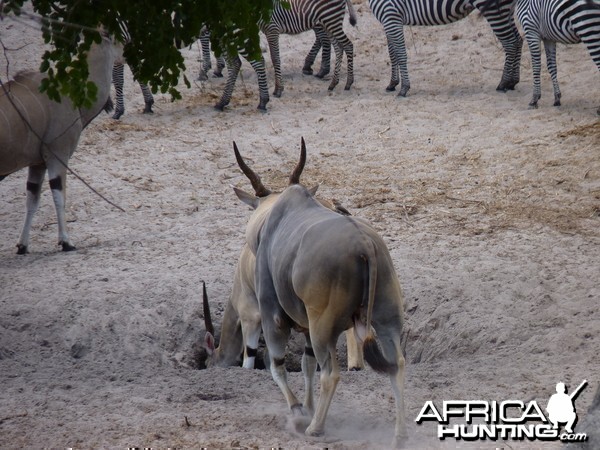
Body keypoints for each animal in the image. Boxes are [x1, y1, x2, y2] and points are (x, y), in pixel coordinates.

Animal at [368, 0, 524, 96]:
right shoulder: (389, 20)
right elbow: (392, 53)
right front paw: (392, 84)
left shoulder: (391, 16)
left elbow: (400, 54)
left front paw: (404, 88)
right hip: (506, 10)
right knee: (518, 40)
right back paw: (512, 82)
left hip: (494, 10)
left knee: (510, 43)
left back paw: (503, 83)